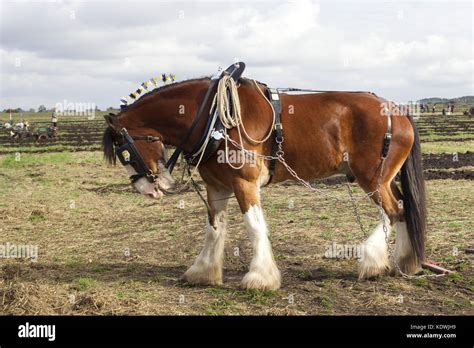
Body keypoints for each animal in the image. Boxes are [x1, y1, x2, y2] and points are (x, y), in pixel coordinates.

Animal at [103, 66, 426, 290]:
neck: (214, 119)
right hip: (384, 179)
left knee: (392, 211)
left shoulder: (244, 183)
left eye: (124, 151)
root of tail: (397, 110)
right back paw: (404, 262)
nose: (146, 189)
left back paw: (373, 262)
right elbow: (214, 228)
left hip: (373, 179)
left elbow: (254, 226)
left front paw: (260, 277)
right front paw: (203, 272)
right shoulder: (216, 186)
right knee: (402, 208)